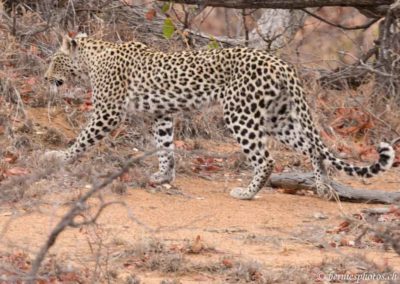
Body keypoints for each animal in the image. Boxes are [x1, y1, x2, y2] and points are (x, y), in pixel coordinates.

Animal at [43, 33, 394, 200]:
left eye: (55, 60)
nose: (46, 78)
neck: (92, 56)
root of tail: (282, 64)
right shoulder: (162, 114)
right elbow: (165, 148)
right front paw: (163, 177)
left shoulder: (107, 110)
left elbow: (83, 138)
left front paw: (60, 157)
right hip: (278, 118)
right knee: (312, 148)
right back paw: (322, 187)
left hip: (240, 112)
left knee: (266, 159)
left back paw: (247, 193)